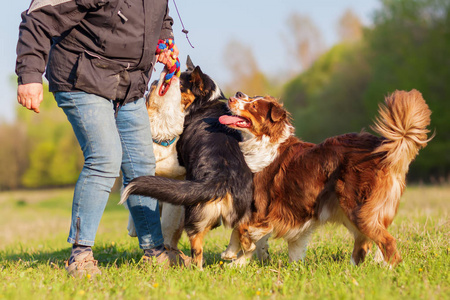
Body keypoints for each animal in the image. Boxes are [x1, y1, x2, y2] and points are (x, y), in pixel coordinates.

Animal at [119, 60, 255, 268]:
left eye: (181, 86)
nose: (158, 78)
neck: (207, 103)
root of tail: (221, 180)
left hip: (196, 218)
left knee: (197, 247)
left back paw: (195, 269)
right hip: (244, 215)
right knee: (247, 241)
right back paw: (232, 256)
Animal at [221, 90, 432, 266]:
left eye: (254, 106)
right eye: (249, 97)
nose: (235, 95)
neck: (264, 143)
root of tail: (383, 149)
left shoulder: (264, 207)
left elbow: (240, 229)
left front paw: (233, 255)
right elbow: (261, 238)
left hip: (358, 209)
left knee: (386, 242)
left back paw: (387, 270)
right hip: (351, 210)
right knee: (364, 243)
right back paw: (350, 271)